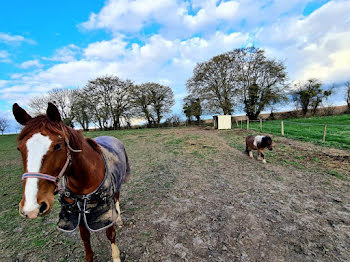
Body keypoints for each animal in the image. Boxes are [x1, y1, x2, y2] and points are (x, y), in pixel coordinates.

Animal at [12, 103, 131, 262]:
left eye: (58, 146)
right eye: (19, 148)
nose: (32, 208)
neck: (85, 180)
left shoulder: (106, 208)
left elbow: (110, 234)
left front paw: (116, 257)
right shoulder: (77, 210)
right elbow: (85, 237)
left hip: (118, 185)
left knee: (117, 199)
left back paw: (118, 220)